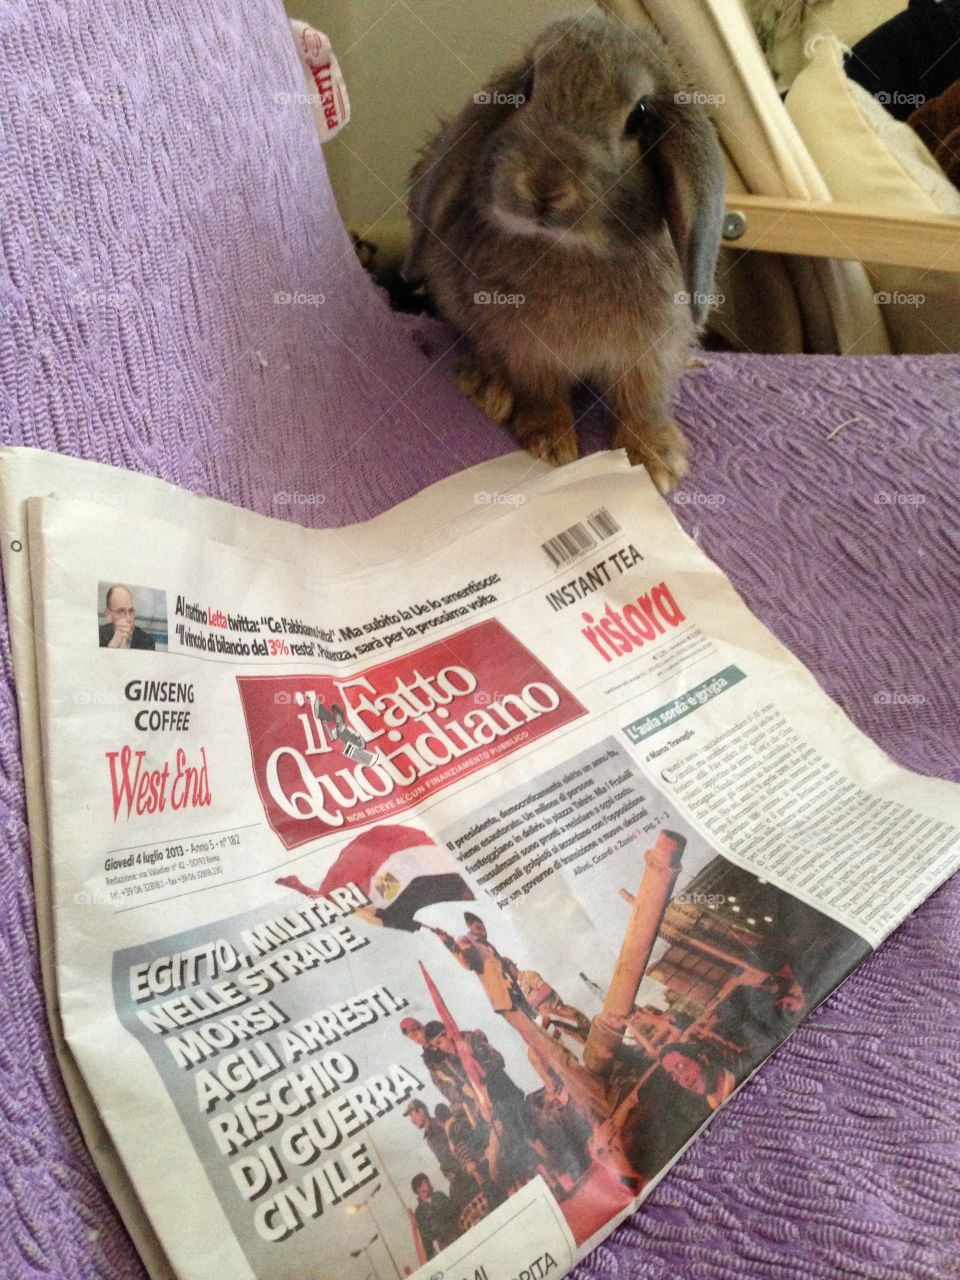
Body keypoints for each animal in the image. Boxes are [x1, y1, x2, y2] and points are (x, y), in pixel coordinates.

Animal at [402, 10, 726, 493]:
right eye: (528, 87)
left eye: (639, 116)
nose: (544, 186)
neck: (571, 247)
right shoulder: (527, 347)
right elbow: (542, 389)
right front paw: (550, 442)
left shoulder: (650, 352)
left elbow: (641, 400)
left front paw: (656, 461)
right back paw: (486, 384)